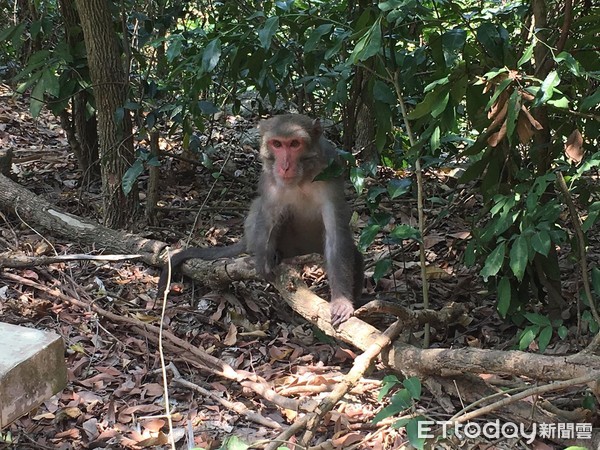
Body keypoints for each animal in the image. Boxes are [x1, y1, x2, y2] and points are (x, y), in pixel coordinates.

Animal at [157, 114, 364, 326]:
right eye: (277, 144)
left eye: (295, 144)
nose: (285, 166)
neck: (302, 178)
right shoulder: (270, 180)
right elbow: (267, 214)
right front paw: (264, 258)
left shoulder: (331, 170)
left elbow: (335, 235)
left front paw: (341, 301)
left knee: (355, 258)